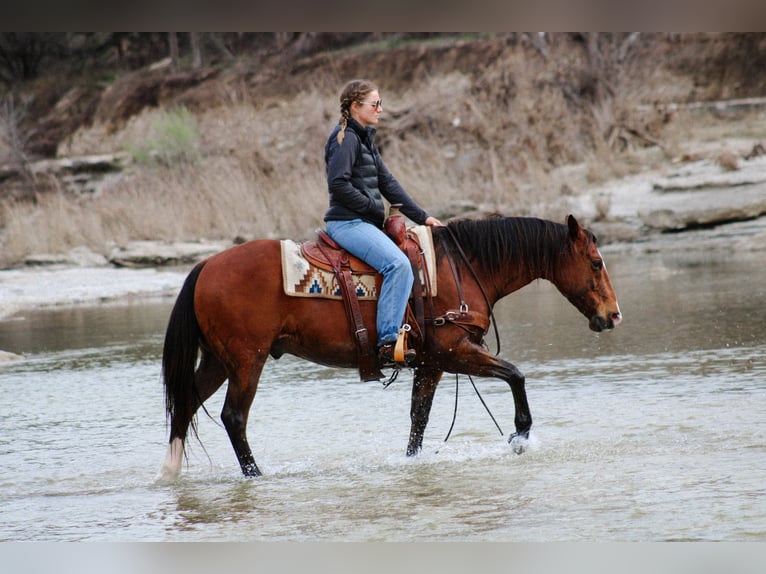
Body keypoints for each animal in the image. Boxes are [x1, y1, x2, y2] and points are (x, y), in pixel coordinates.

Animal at [160, 216, 624, 482]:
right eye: (596, 262)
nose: (614, 314)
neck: (462, 266)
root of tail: (205, 266)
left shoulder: (432, 364)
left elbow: (418, 420)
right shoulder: (455, 351)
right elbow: (515, 375)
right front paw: (520, 436)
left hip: (218, 361)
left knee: (185, 405)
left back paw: (171, 473)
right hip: (246, 360)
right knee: (233, 417)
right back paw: (255, 474)